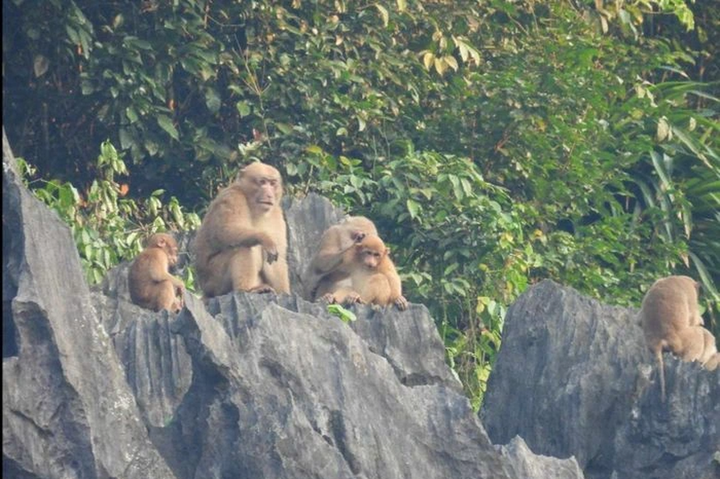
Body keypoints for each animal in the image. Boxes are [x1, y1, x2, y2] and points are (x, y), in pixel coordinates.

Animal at [192, 162, 290, 298]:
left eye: (272, 183)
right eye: (262, 182)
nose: (269, 194)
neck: (254, 206)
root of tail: (206, 291)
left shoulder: (275, 213)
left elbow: (277, 260)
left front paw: (285, 293)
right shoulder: (233, 198)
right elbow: (225, 231)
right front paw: (265, 239)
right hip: (213, 281)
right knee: (242, 247)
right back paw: (247, 289)